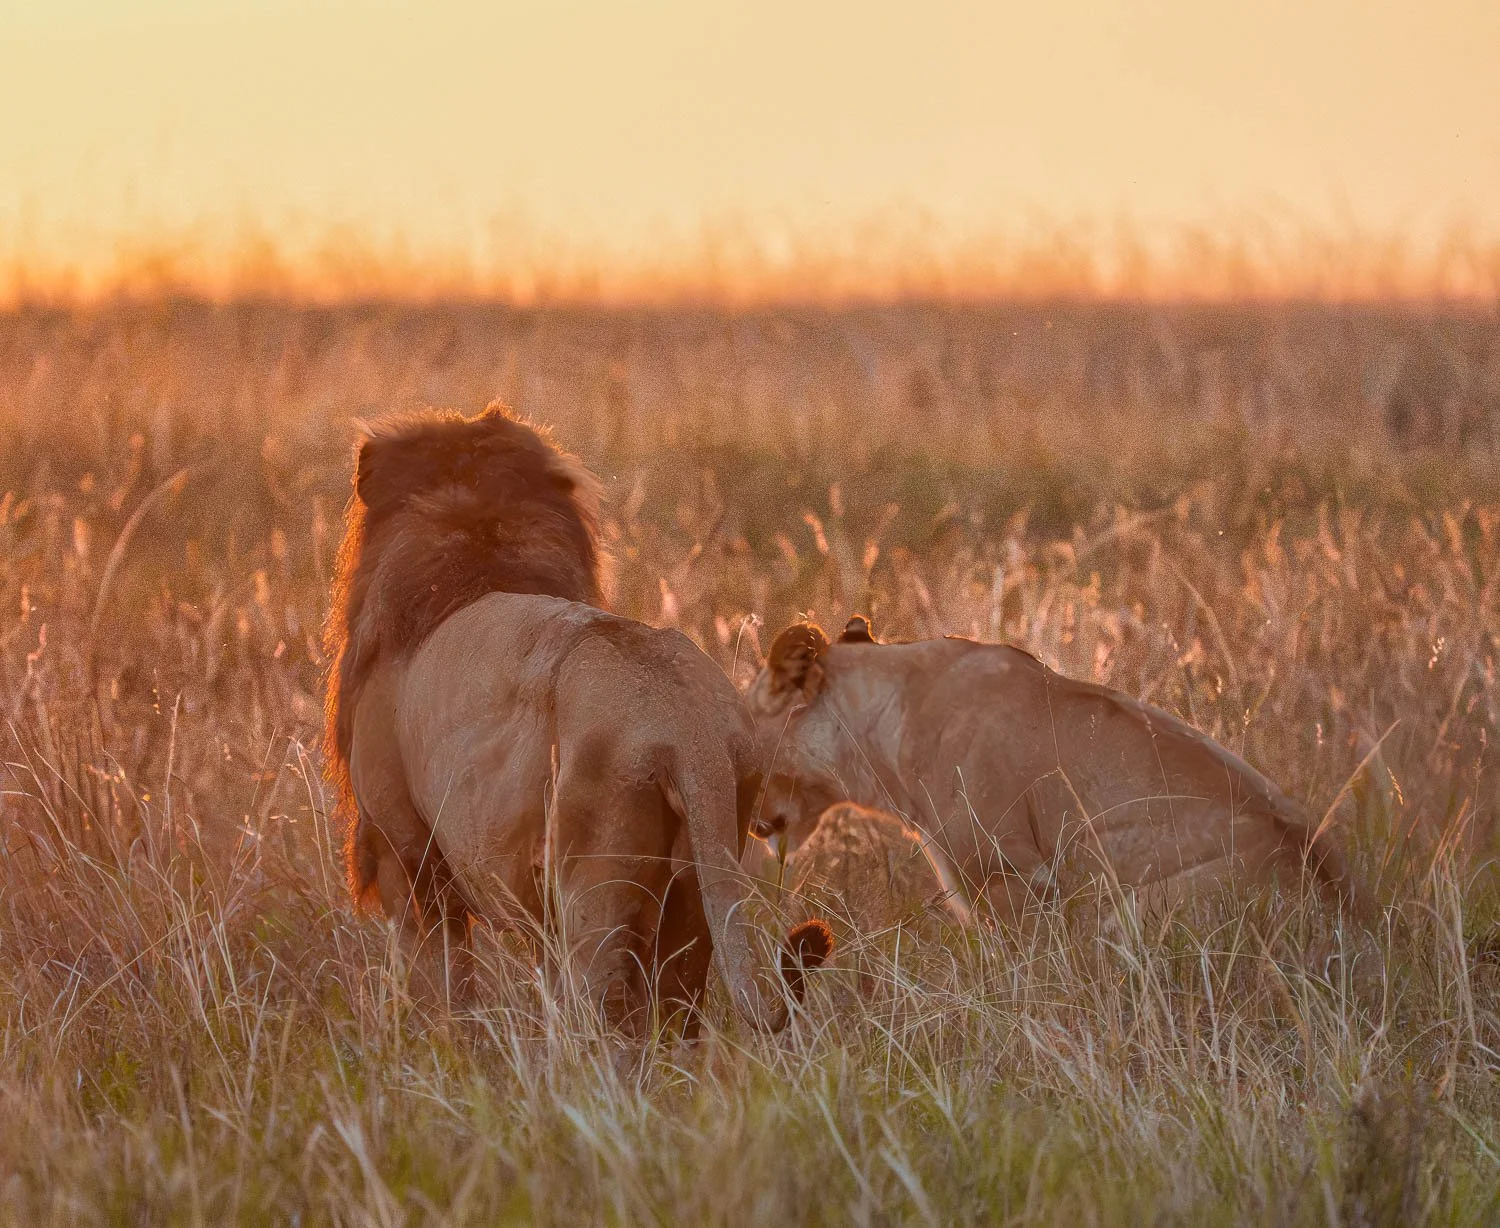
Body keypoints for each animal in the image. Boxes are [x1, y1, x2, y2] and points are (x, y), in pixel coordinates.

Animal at [324, 402, 828, 1032]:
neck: (478, 537)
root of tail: (689, 729)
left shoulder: (405, 852)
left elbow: (444, 984)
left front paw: (442, 1045)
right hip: (696, 883)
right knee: (675, 1005)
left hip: (590, 888)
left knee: (607, 1011)